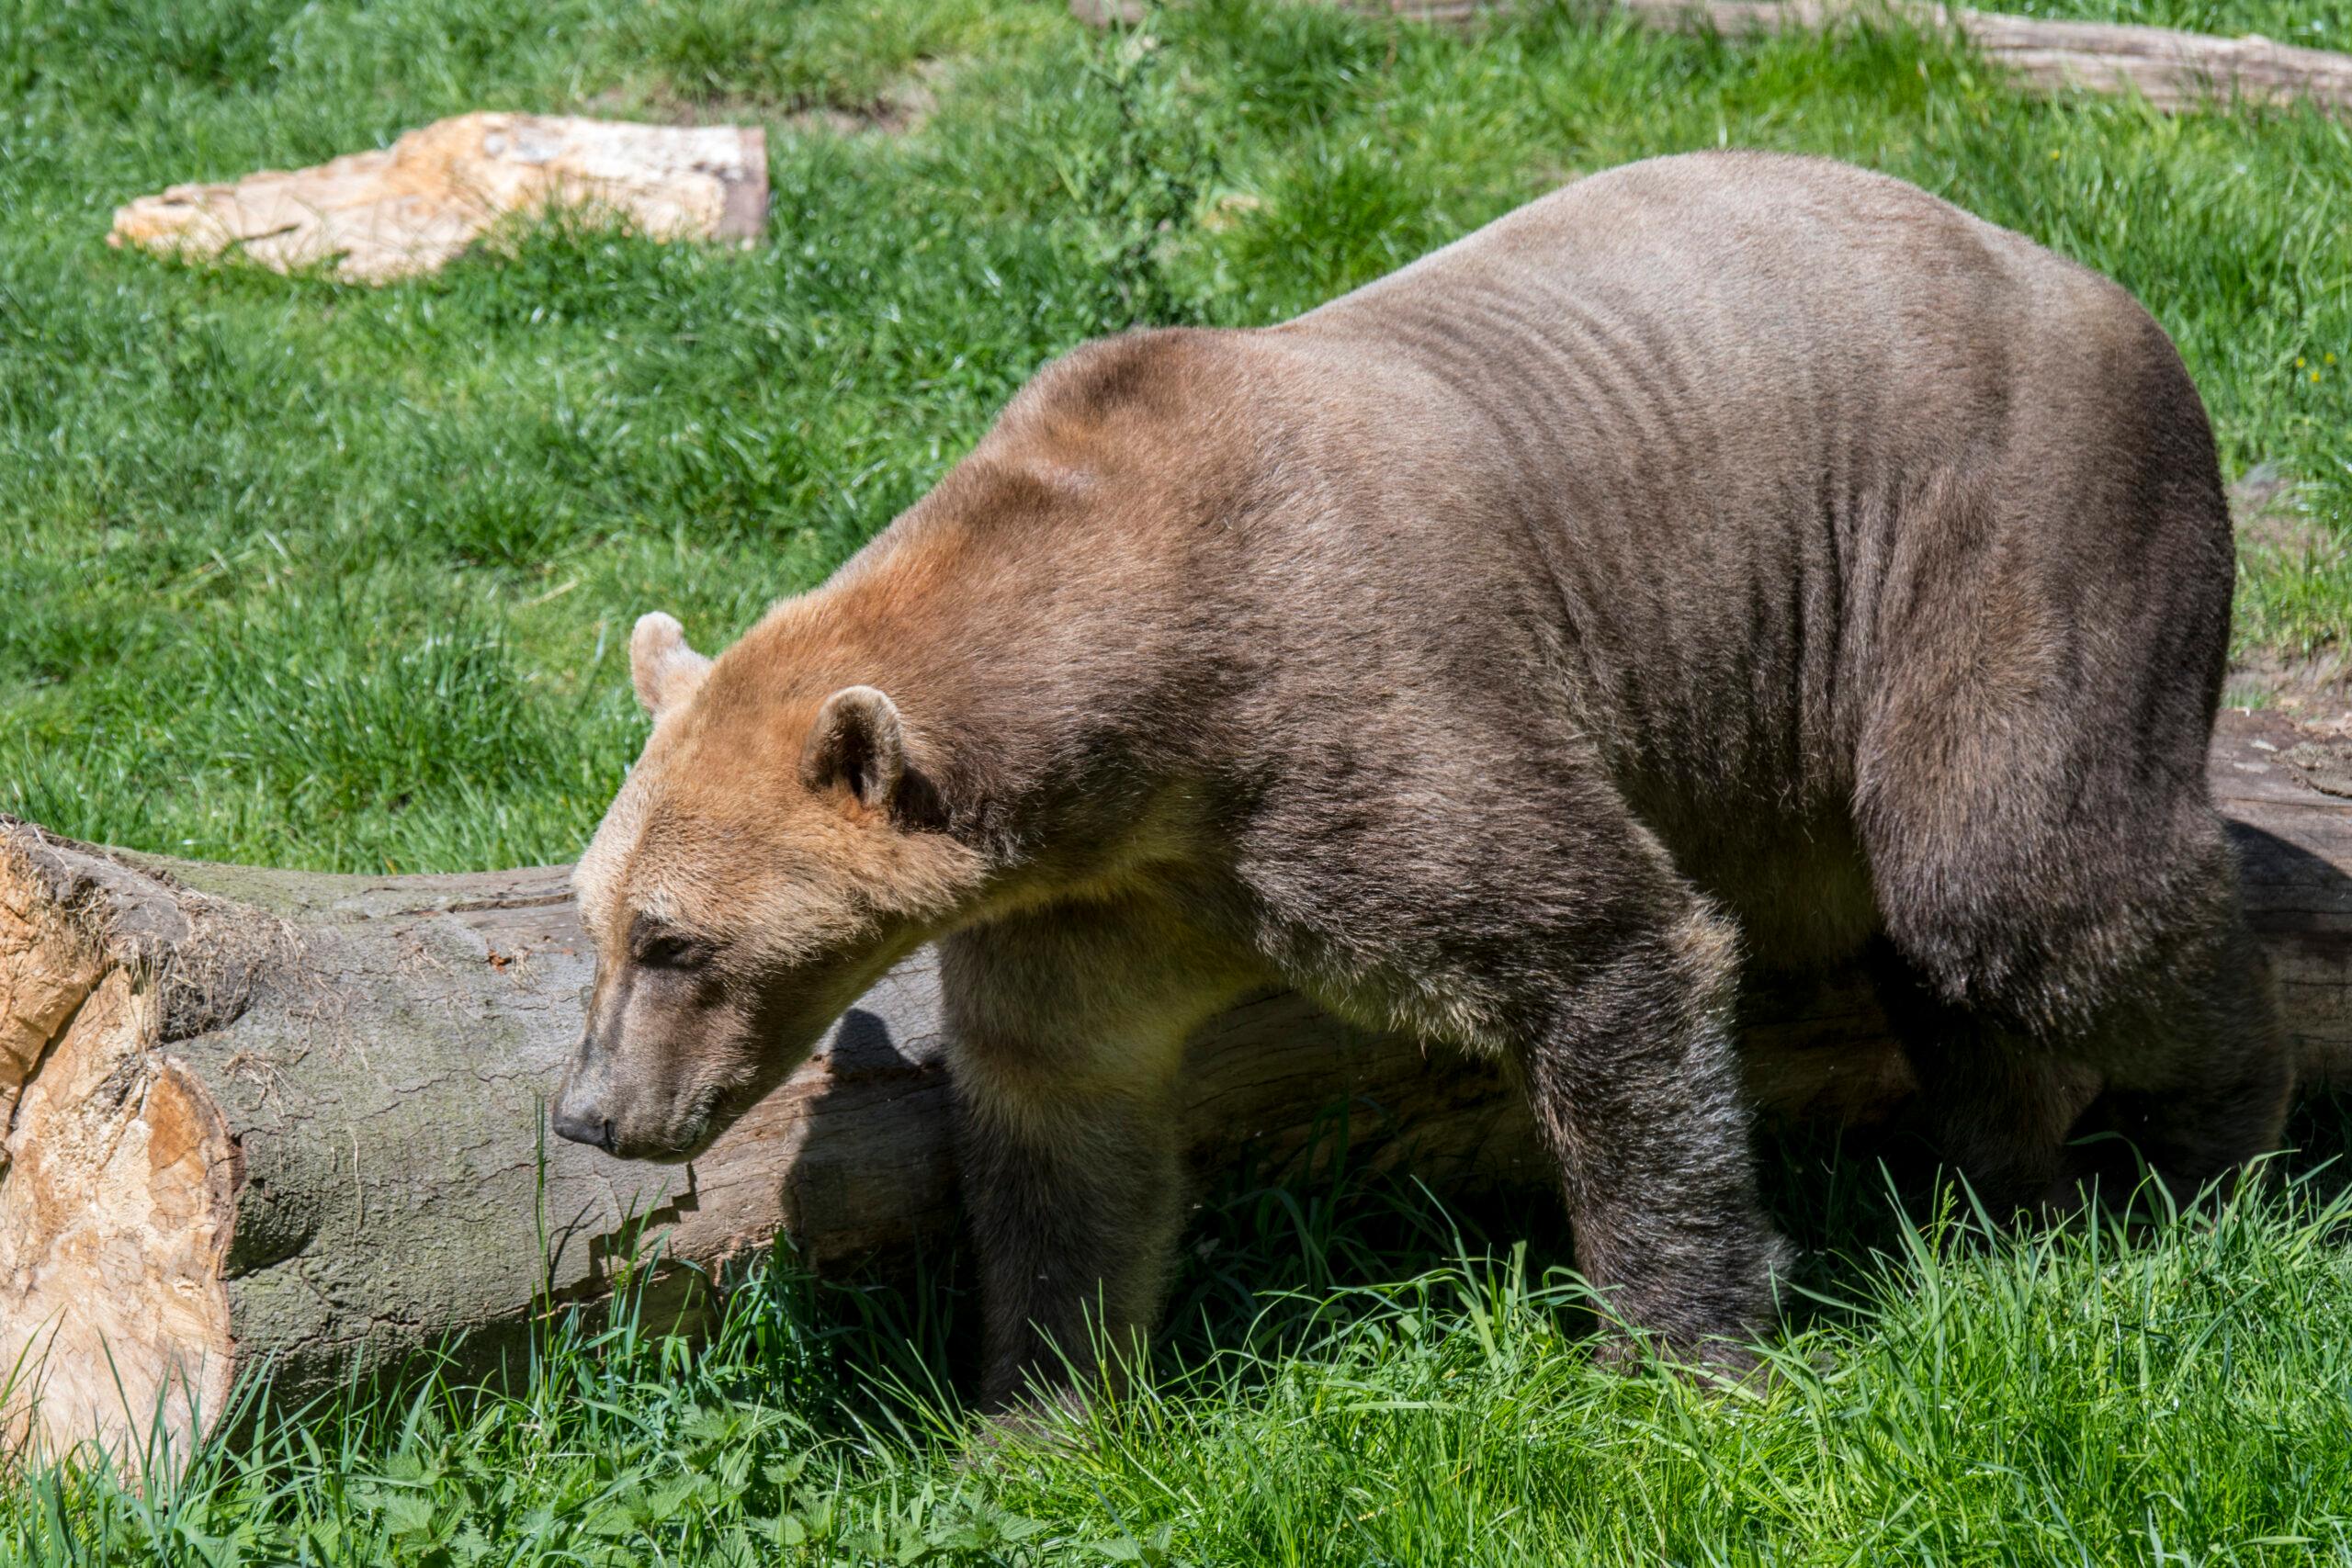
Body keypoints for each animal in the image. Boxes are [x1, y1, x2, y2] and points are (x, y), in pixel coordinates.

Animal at [553, 150, 2288, 1403]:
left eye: (677, 938)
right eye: (598, 922)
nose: (591, 1112)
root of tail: (2098, 282)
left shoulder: (1354, 715)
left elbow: (1605, 947)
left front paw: (1679, 1351)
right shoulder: (1105, 891)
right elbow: (1064, 1115)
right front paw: (1038, 1403)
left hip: (2004, 529)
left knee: (2021, 884)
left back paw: (2213, 1139)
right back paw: (2006, 1169)